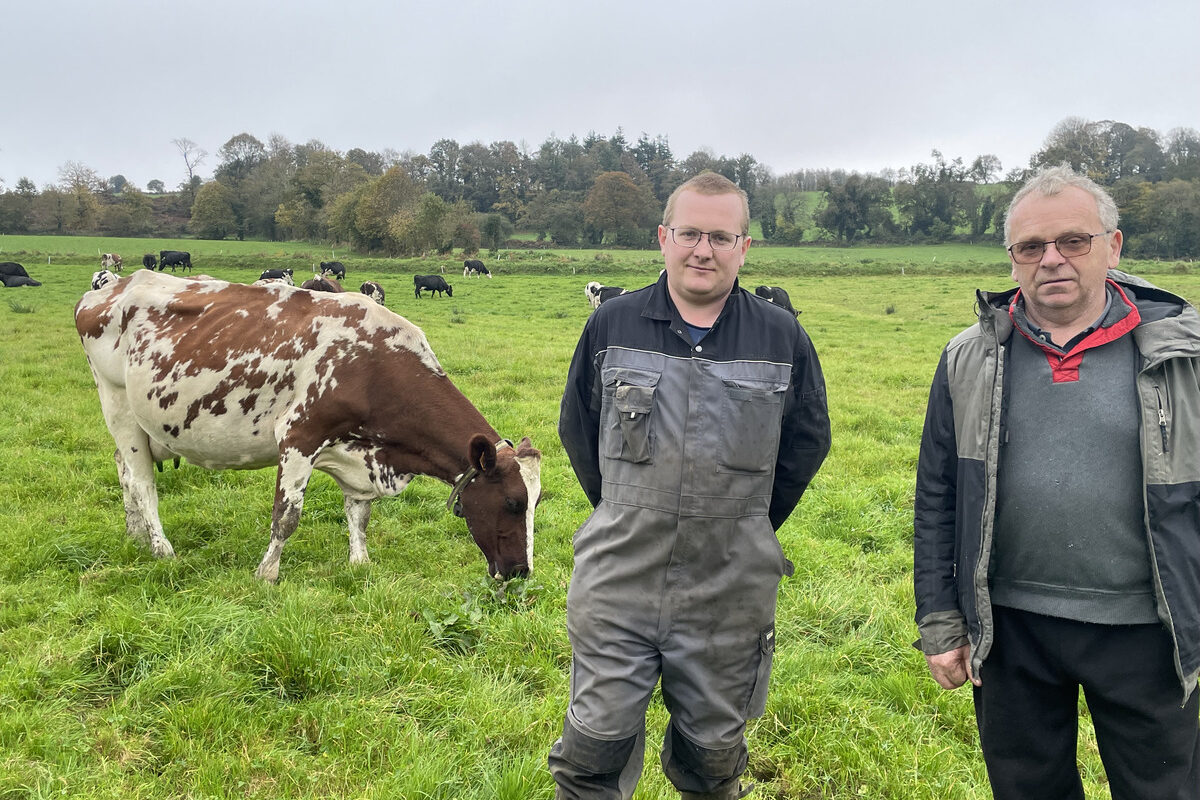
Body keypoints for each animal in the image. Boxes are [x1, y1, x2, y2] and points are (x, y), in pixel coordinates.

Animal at [72, 268, 542, 582]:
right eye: (513, 502)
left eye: (537, 502)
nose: (521, 571)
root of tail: (115, 285)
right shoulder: (299, 436)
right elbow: (286, 516)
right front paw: (267, 573)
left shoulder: (360, 453)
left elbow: (359, 514)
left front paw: (359, 562)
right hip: (118, 406)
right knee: (141, 482)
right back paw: (161, 547)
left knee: (123, 471)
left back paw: (136, 536)